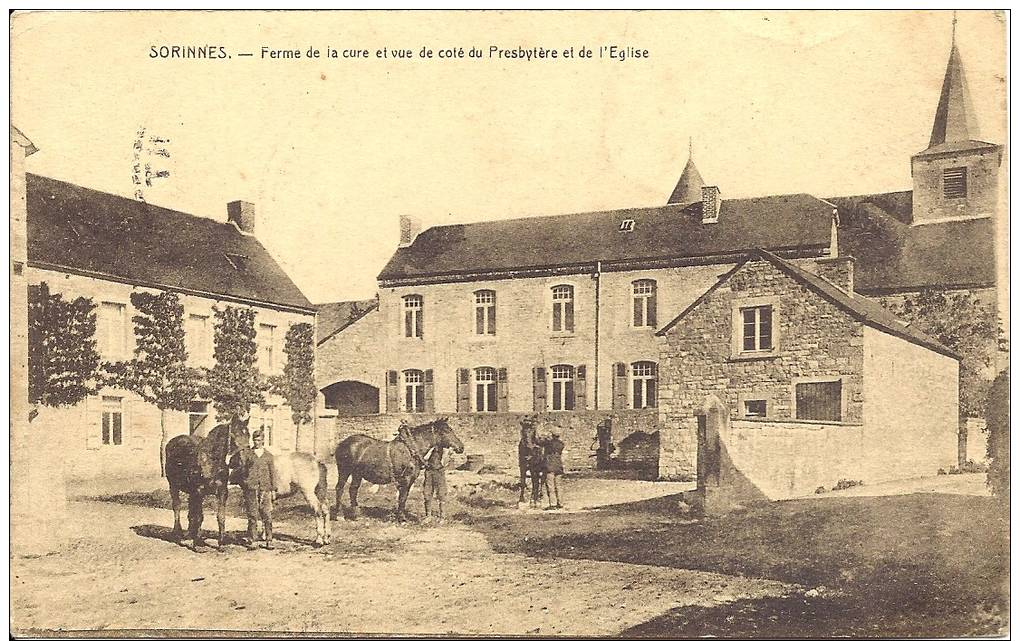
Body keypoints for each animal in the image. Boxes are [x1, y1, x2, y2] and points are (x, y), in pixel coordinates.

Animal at [165, 416, 250, 551]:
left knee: (190, 511)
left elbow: (220, 517)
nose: (245, 461)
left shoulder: (222, 492)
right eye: (233, 435)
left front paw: (221, 543)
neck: (210, 461)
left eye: (248, 435)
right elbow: (199, 517)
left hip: (191, 492)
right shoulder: (199, 491)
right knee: (177, 507)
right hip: (173, 486)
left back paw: (190, 534)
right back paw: (178, 533)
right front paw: (198, 544)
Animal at [332, 418, 465, 522]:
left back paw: (356, 515)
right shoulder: (405, 479)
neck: (411, 449)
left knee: (353, 490)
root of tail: (342, 443)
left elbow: (404, 498)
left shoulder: (409, 481)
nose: (461, 447)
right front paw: (401, 518)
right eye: (447, 431)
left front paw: (400, 516)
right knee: (339, 489)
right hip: (344, 471)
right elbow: (402, 498)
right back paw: (339, 515)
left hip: (357, 473)